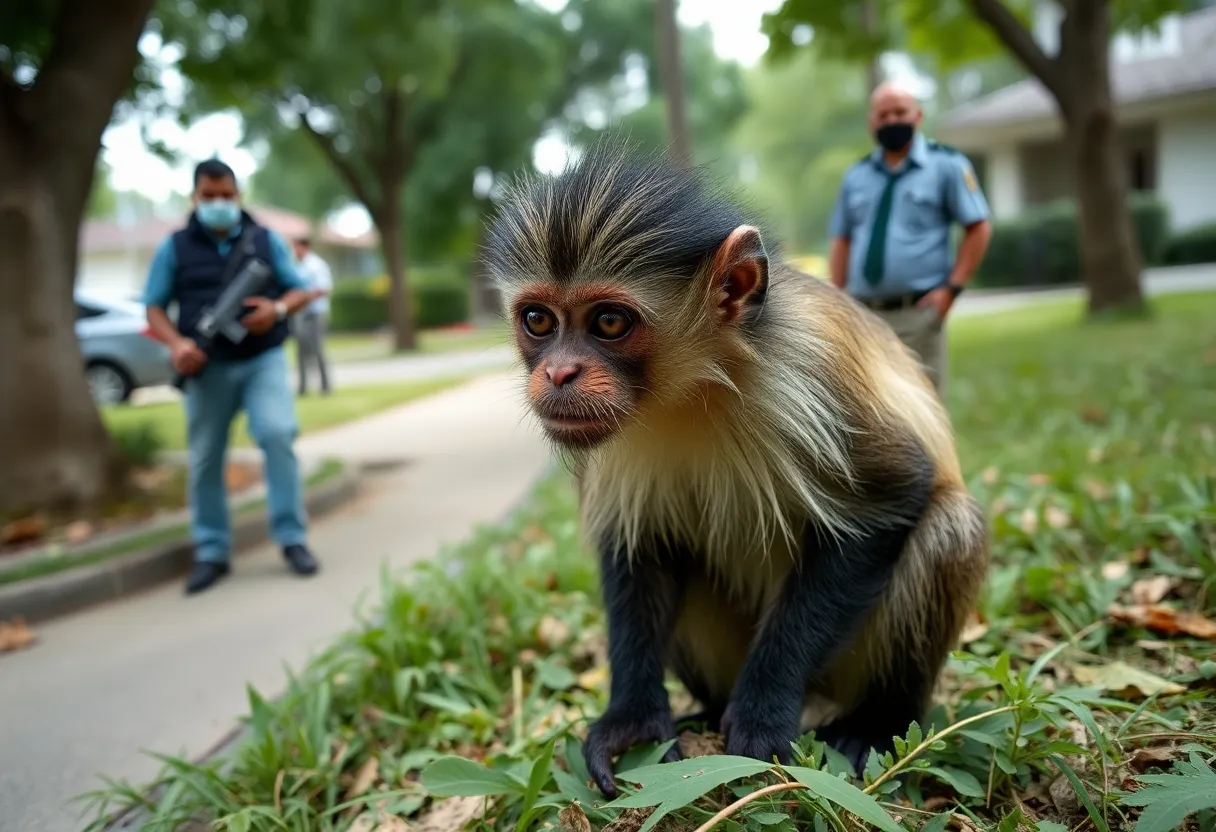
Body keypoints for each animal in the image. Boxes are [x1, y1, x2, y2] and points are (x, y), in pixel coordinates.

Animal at [480, 138, 990, 799]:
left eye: (609, 323)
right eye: (538, 321)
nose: (558, 373)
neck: (694, 386)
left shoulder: (807, 370)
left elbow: (894, 498)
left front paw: (765, 711)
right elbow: (640, 545)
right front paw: (633, 720)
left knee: (951, 524)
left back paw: (878, 721)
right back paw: (705, 710)